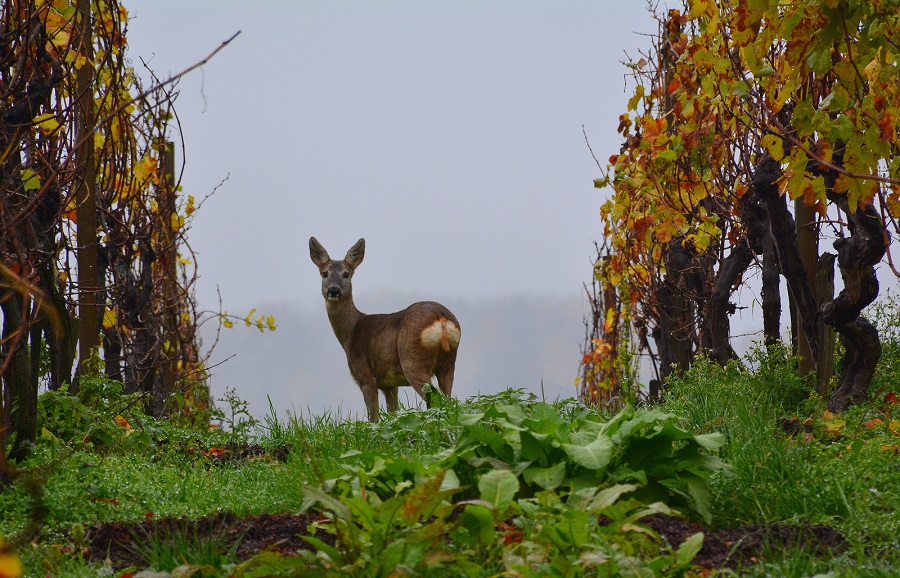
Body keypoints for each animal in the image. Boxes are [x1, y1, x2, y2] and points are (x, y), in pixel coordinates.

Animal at [312, 236, 464, 420]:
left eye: (346, 274)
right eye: (324, 273)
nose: (333, 290)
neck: (351, 332)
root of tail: (440, 318)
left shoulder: (366, 376)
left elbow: (374, 419)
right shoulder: (389, 384)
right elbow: (393, 413)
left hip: (412, 361)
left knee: (437, 402)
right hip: (448, 363)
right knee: (450, 400)